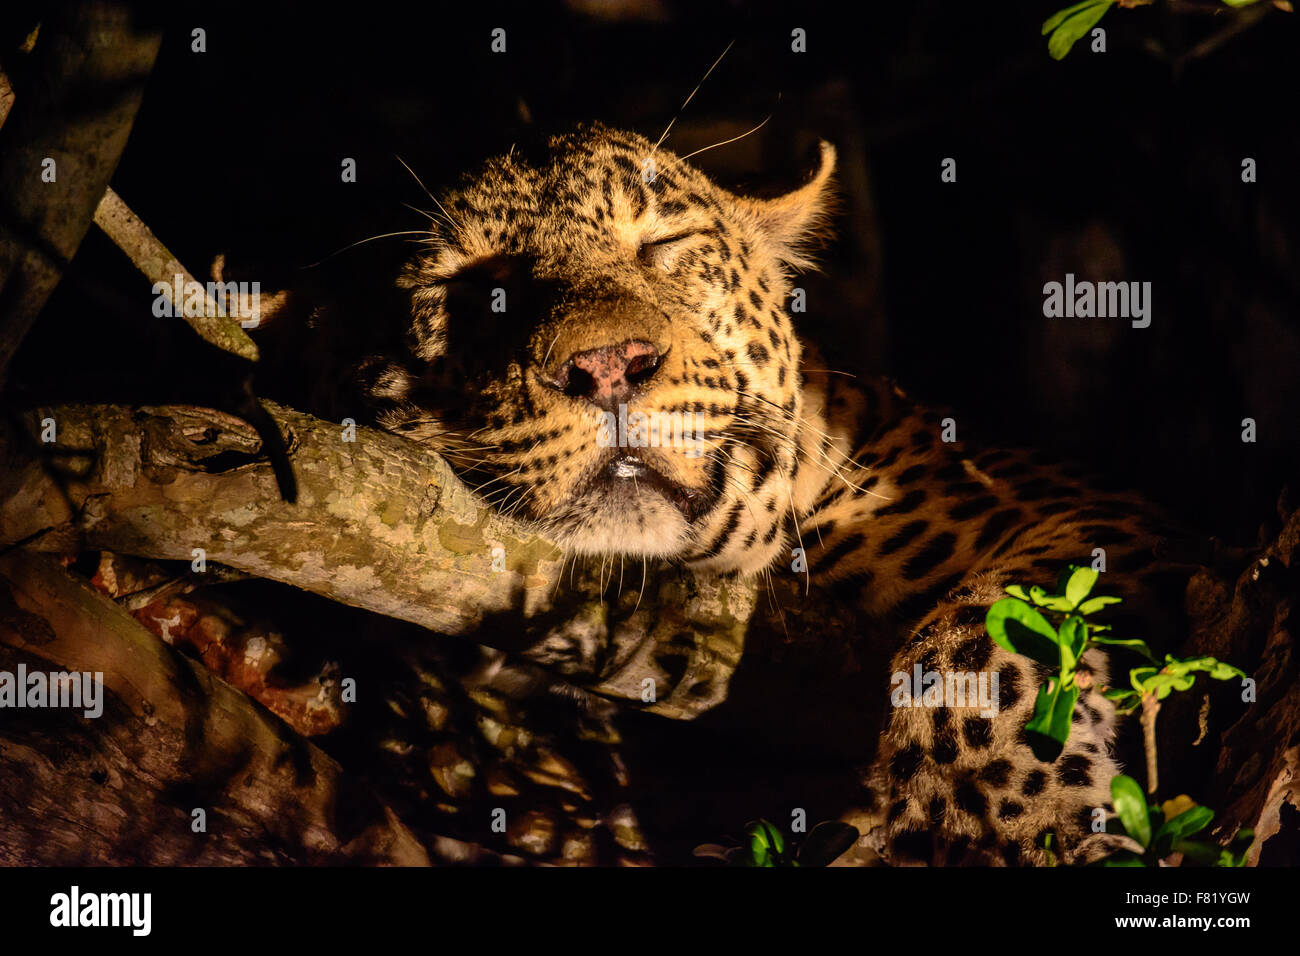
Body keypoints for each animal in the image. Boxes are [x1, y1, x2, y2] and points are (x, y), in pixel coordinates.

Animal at [348, 121, 1197, 866]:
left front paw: (987, 814)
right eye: (469, 287)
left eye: (662, 247)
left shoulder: (1098, 509)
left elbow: (985, 629)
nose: (608, 366)